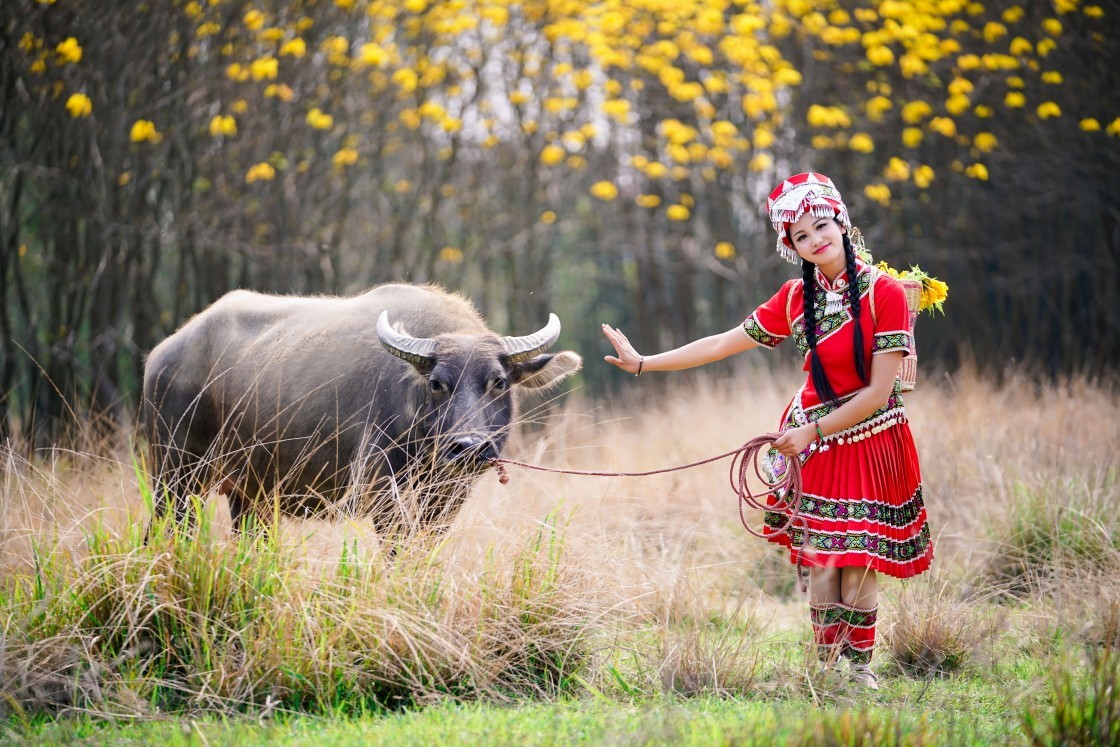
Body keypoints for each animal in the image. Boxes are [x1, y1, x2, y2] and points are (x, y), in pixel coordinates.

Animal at [135, 283, 582, 535]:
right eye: (436, 383)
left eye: (499, 382)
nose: (469, 447)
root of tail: (161, 355)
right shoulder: (380, 489)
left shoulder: (447, 495)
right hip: (175, 476)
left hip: (251, 493)